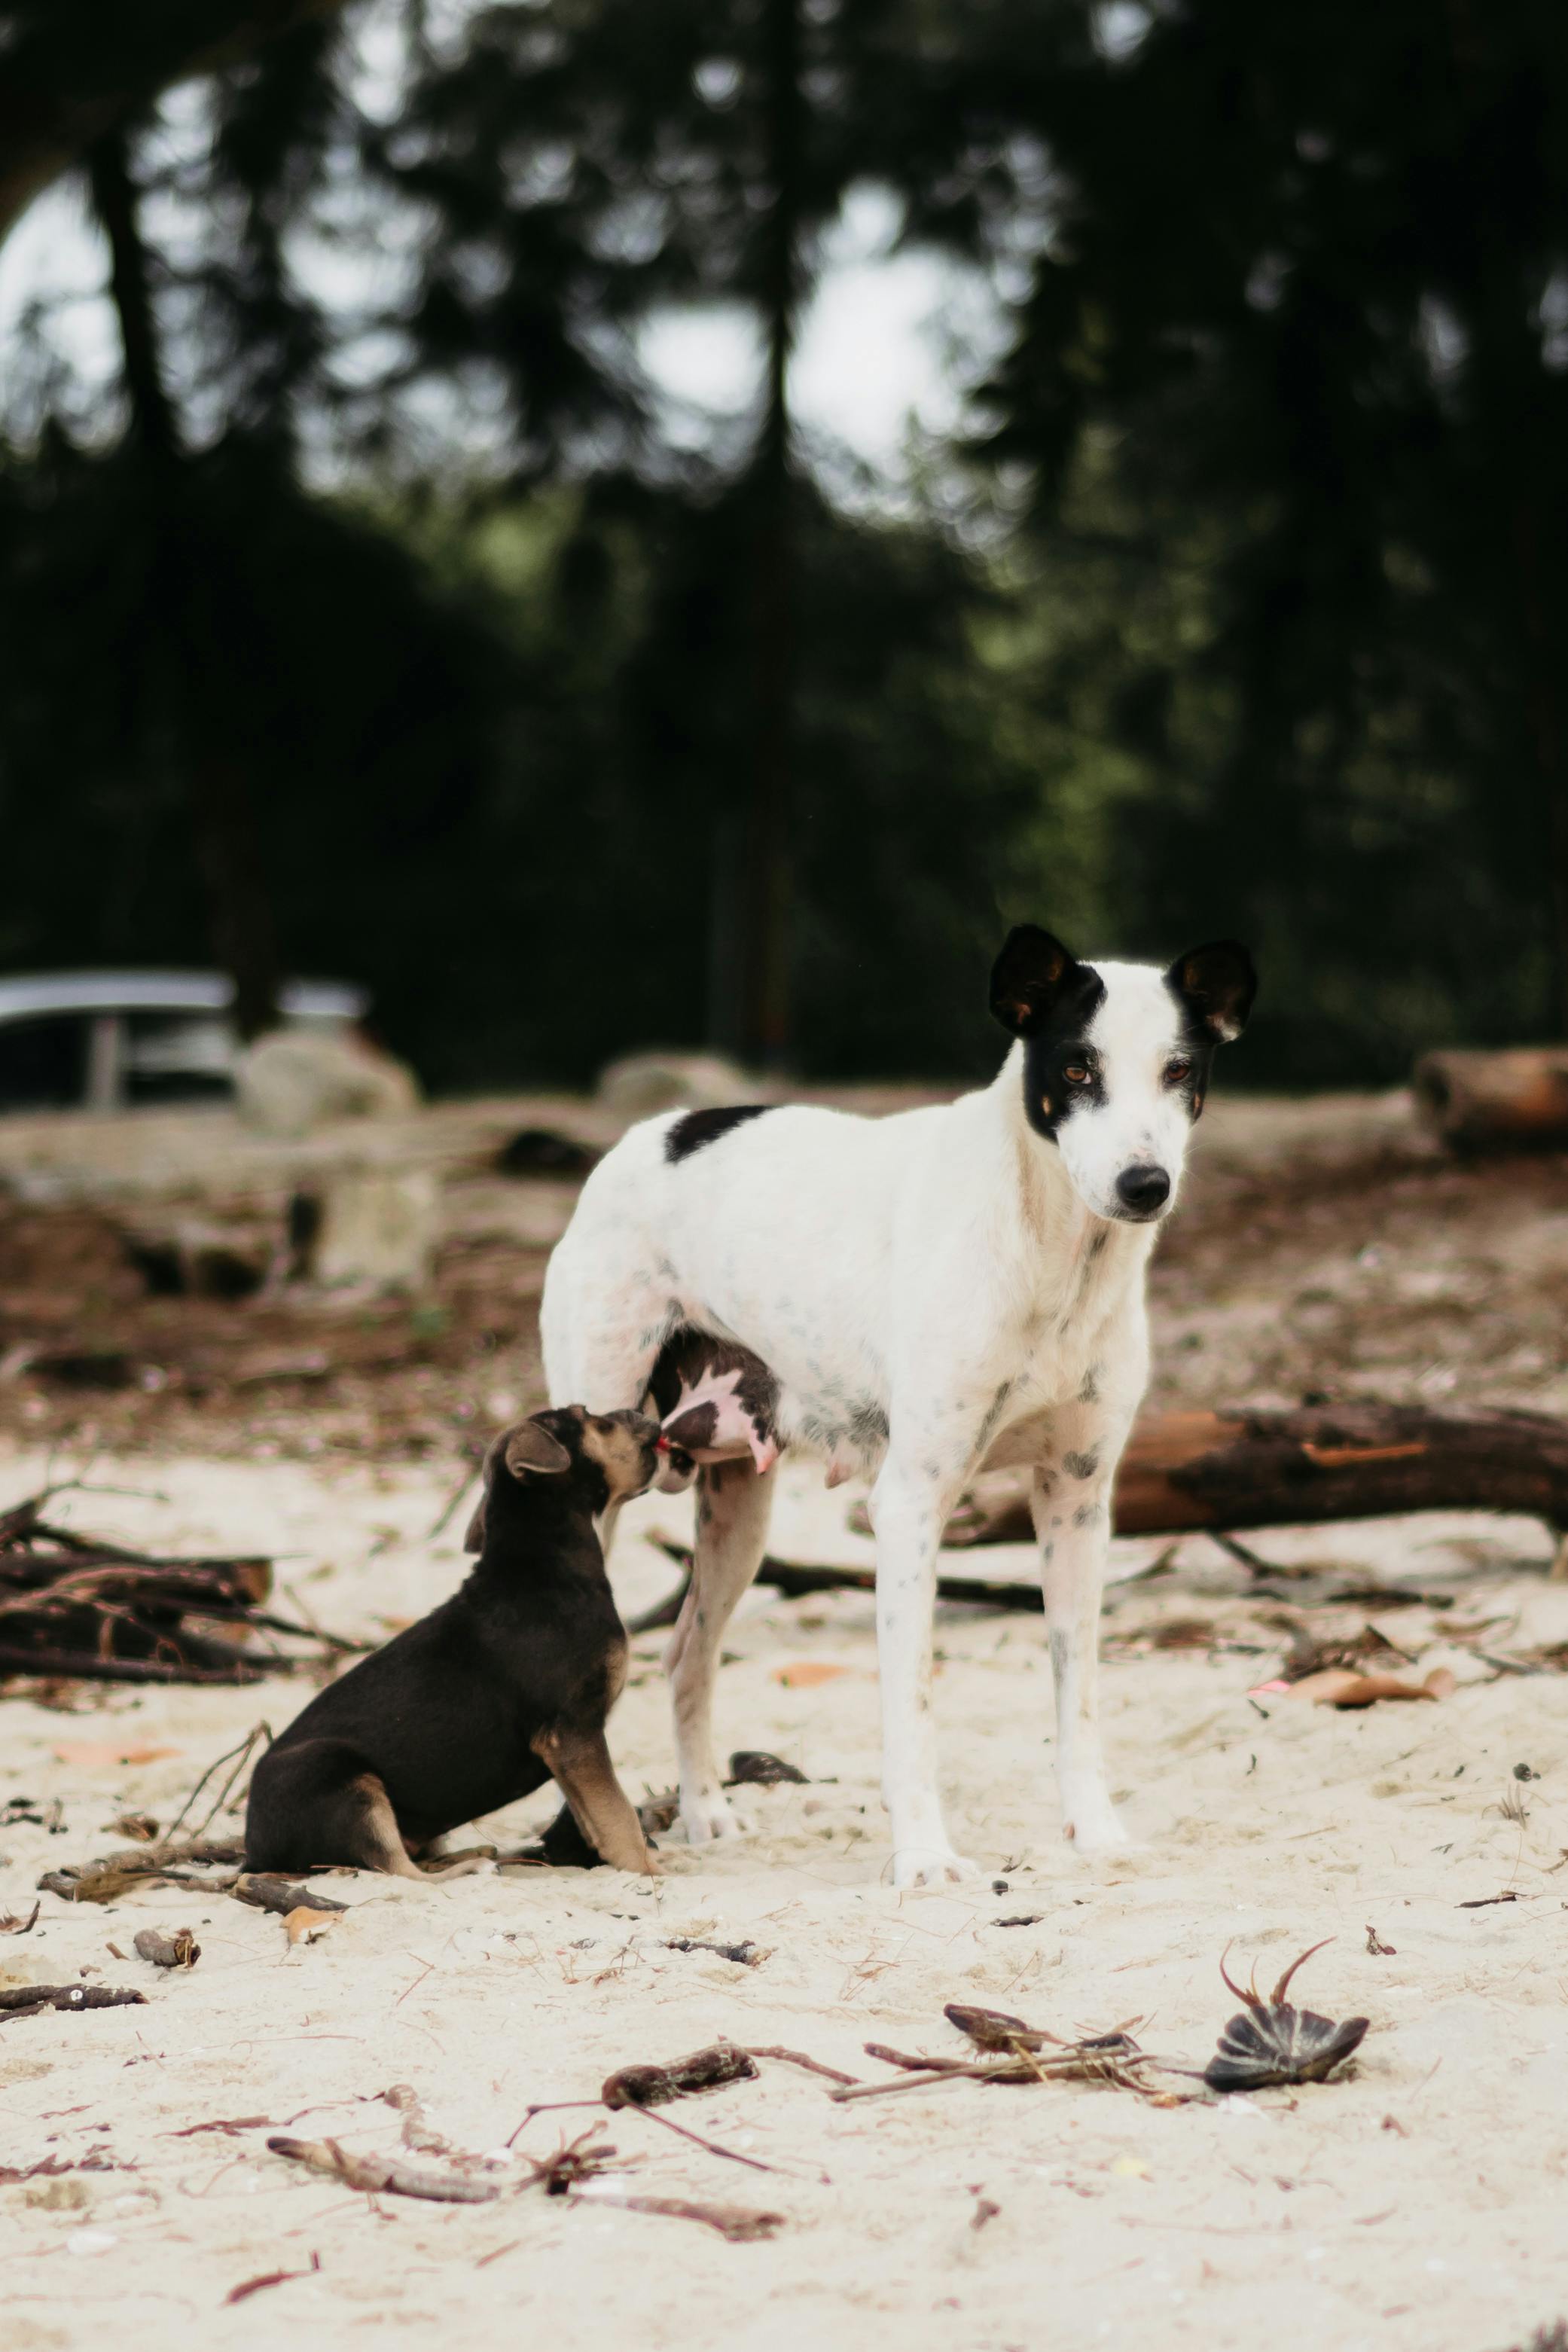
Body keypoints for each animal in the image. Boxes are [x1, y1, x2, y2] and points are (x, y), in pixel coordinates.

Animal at [243, 1402, 663, 1881]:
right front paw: (648, 1870)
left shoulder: (570, 1747)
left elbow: (594, 1816)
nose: (640, 1412)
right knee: (400, 1870)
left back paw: (472, 1854)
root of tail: (254, 1852)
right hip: (342, 1781)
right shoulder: (572, 1730)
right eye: (590, 1417)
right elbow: (617, 1813)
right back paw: (469, 1868)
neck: (545, 1561)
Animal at [545, 926, 1260, 1881]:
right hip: (593, 1481)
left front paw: (1095, 1830)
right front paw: (923, 1856)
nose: (1144, 1183)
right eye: (1077, 1068)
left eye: (1180, 1069)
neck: (1052, 1256)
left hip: (740, 1515)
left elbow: (1077, 1696)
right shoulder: (913, 1503)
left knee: (687, 1657)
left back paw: (705, 1814)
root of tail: (653, 1133)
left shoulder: (1078, 1503)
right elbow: (912, 1709)